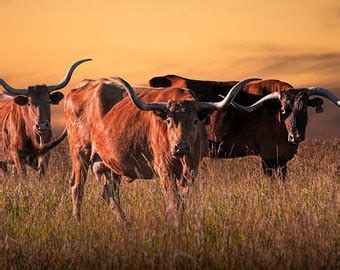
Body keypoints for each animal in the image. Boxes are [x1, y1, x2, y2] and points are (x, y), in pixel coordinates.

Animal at [63, 76, 258, 224]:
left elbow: (183, 201)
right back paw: (77, 220)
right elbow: (174, 200)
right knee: (77, 187)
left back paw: (125, 224)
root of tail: (81, 86)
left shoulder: (192, 171)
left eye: (195, 121)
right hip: (80, 152)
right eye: (169, 121)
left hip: (111, 164)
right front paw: (176, 225)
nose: (181, 146)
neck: (182, 159)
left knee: (110, 194)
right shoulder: (165, 170)